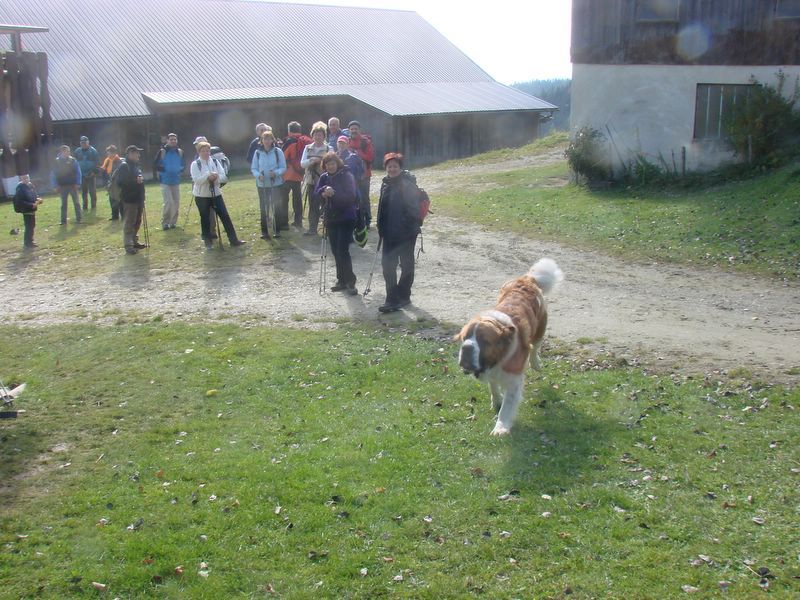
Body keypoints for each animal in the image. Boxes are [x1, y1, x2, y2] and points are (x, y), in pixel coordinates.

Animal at [456, 258, 564, 436]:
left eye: (484, 341)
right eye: (465, 338)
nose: (467, 347)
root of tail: (527, 279)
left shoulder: (514, 379)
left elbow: (507, 406)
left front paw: (501, 428)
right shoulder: (492, 372)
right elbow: (493, 387)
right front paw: (496, 401)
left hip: (541, 327)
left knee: (535, 346)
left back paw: (536, 364)